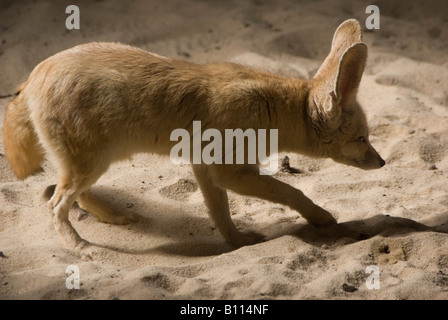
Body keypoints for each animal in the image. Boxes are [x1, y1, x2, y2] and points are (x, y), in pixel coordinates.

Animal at [1, 19, 384, 255]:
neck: (273, 106)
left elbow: (221, 214)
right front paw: (320, 217)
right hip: (89, 164)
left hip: (93, 164)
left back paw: (115, 218)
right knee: (56, 205)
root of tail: (33, 77)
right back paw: (81, 246)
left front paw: (237, 243)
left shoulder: (206, 168)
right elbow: (291, 191)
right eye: (362, 139)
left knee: (77, 196)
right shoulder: (230, 172)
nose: (382, 162)